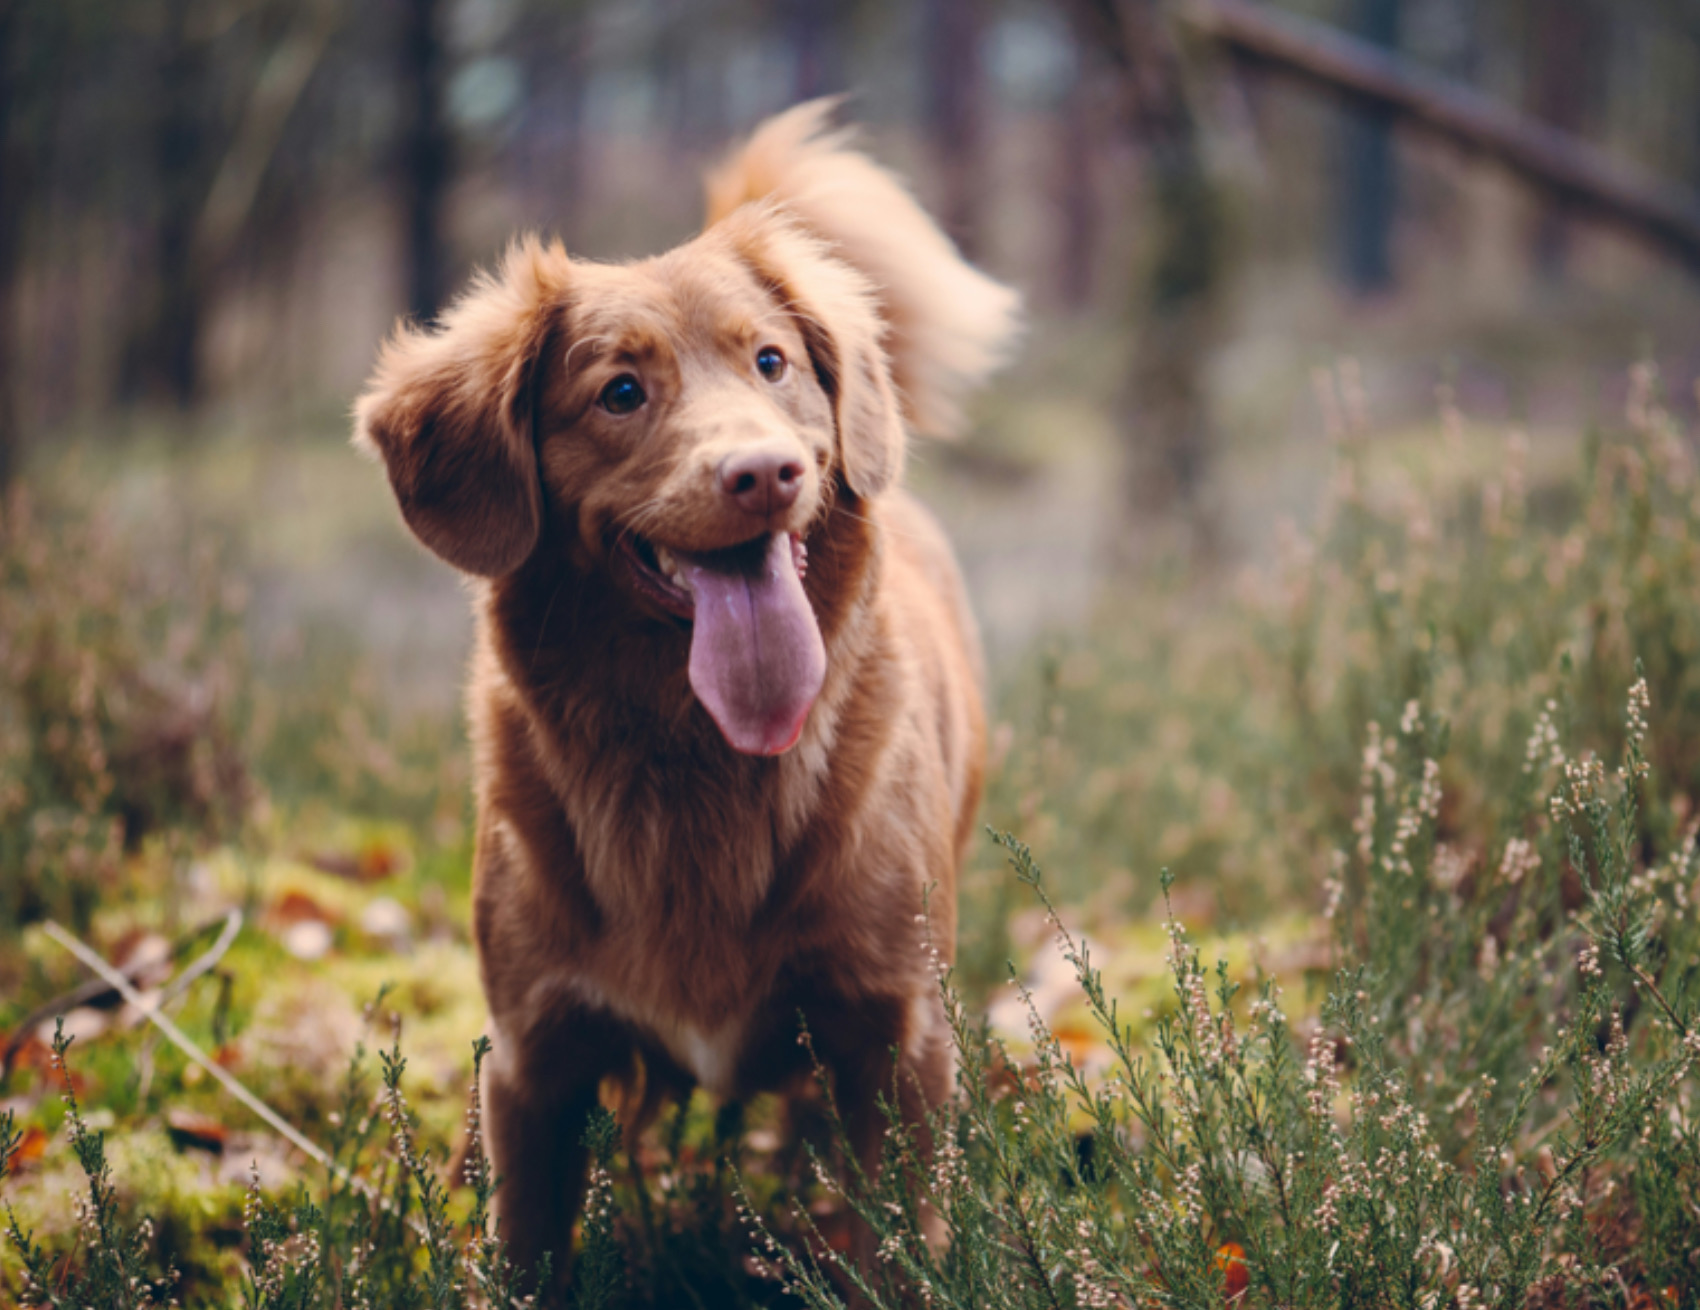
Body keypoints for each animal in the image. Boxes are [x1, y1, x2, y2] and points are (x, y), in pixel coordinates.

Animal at [353, 104, 1013, 1291]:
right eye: (620, 391)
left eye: (772, 362)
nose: (764, 472)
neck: (692, 752)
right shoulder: (535, 1058)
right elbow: (527, 1250)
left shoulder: (895, 1034)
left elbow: (893, 1248)